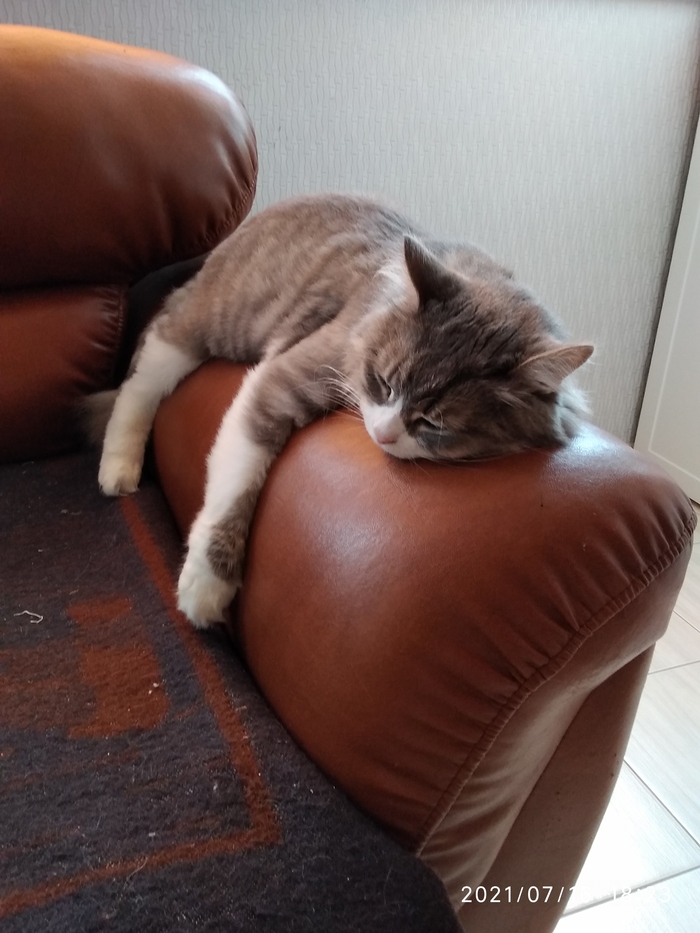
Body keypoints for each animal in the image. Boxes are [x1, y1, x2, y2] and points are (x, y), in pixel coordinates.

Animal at [93, 193, 593, 628]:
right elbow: (234, 487)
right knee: (140, 384)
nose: (385, 434)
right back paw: (118, 467)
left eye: (433, 423)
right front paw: (206, 585)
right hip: (205, 325)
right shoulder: (281, 380)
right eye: (384, 384)